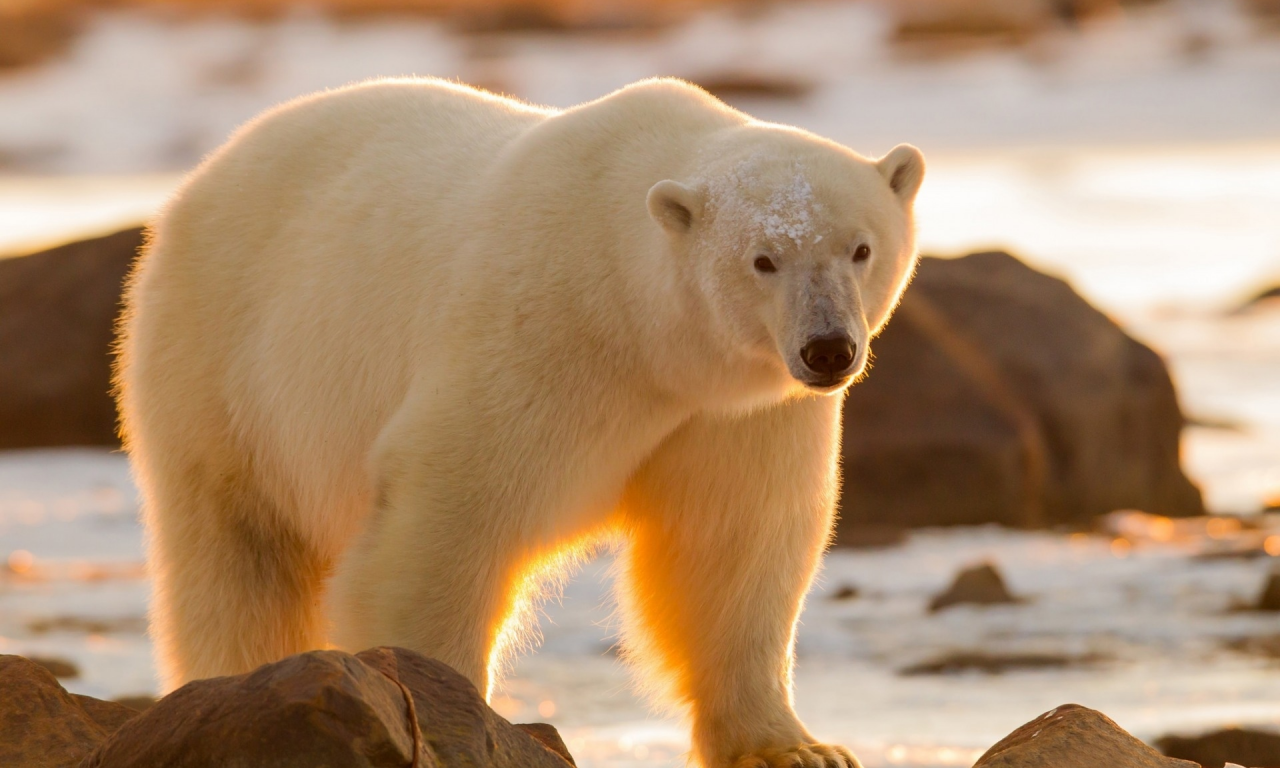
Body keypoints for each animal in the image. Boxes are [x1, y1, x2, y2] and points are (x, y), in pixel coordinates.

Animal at [115, 78, 921, 768]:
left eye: (860, 247)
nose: (827, 349)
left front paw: (797, 746)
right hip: (222, 365)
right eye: (763, 259)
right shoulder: (538, 334)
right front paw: (445, 714)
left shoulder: (737, 413)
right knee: (240, 554)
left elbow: (733, 546)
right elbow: (449, 516)